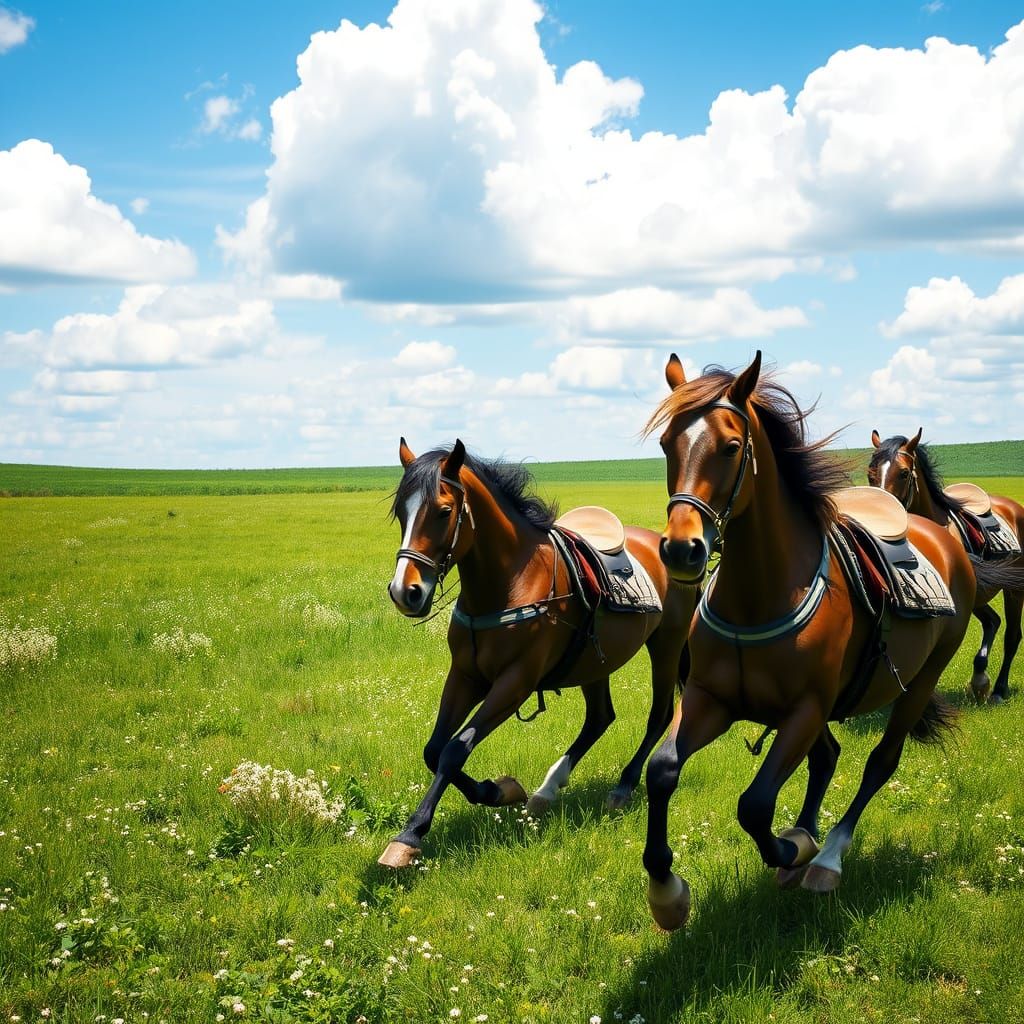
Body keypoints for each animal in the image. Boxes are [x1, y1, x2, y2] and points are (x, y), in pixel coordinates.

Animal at [378, 438, 697, 868]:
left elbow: (454, 749)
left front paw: (411, 834)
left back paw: (623, 786)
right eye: (401, 512)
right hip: (595, 661)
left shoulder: (515, 682)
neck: (510, 581)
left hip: (666, 645)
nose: (405, 591)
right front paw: (501, 791)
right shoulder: (465, 675)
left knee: (658, 715)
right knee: (600, 718)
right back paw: (548, 789)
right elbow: (434, 749)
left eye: (444, 511)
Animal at [640, 352, 977, 931]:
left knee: (878, 763)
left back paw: (826, 858)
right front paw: (667, 894)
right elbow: (662, 773)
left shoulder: (804, 709)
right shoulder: (711, 699)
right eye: (667, 443)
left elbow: (754, 805)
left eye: (731, 446)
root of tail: (941, 537)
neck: (760, 593)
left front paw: (794, 849)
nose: (683, 549)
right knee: (829, 757)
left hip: (918, 683)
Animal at [868, 429, 1024, 704]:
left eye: (904, 473)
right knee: (992, 621)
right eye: (870, 473)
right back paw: (980, 679)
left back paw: (999, 689)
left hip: (1014, 591)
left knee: (1012, 636)